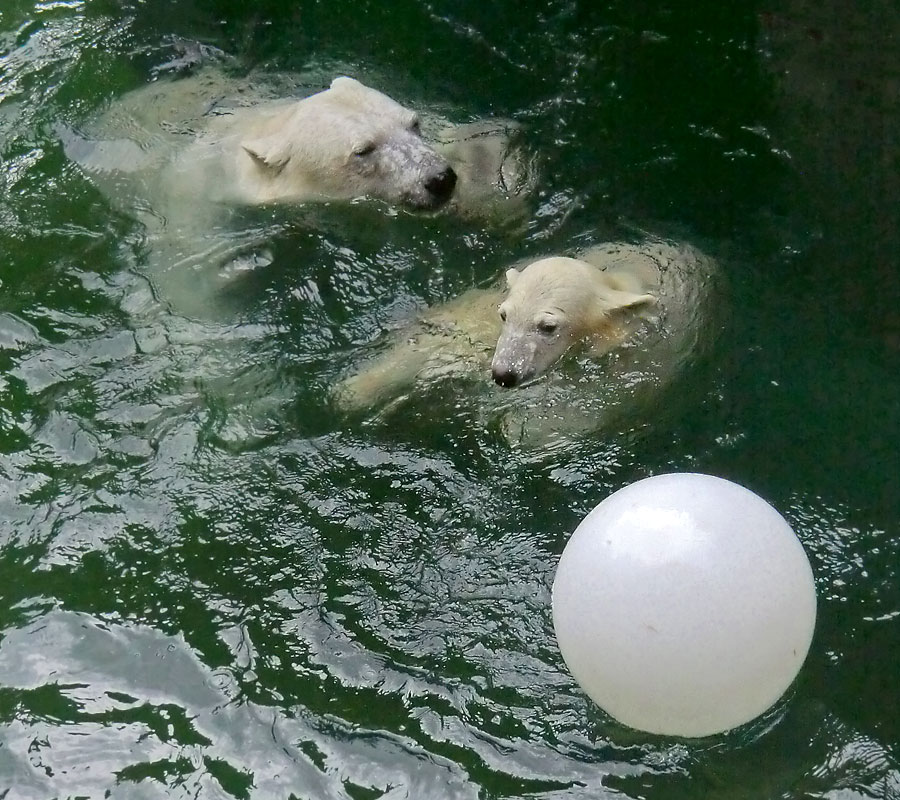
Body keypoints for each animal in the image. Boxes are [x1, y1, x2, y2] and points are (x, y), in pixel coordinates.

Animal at [332, 238, 716, 450]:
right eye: (505, 315)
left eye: (548, 326)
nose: (504, 374)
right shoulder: (483, 327)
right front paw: (353, 391)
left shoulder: (639, 362)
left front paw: (517, 425)